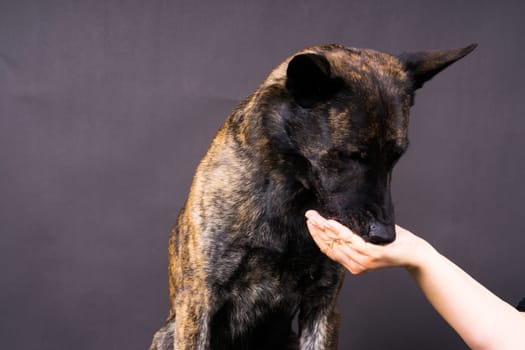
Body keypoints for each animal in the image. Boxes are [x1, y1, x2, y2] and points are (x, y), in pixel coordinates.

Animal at [148, 43, 474, 350]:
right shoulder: (199, 300)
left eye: (396, 157)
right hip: (167, 333)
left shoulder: (323, 304)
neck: (288, 192)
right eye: (350, 155)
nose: (384, 236)